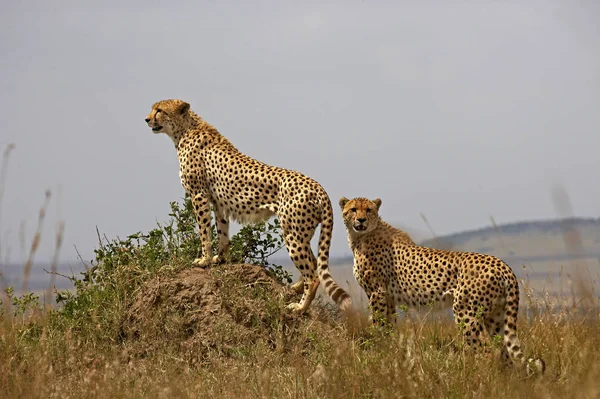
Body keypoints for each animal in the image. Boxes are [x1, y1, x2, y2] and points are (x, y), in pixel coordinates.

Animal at [144, 99, 352, 312]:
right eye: (153, 108)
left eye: (159, 110)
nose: (147, 119)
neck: (184, 129)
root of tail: (319, 187)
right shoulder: (218, 202)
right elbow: (222, 231)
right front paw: (221, 259)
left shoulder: (199, 194)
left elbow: (204, 230)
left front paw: (204, 260)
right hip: (301, 232)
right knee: (313, 263)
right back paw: (293, 289)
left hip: (293, 234)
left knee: (314, 275)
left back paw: (300, 307)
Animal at [340, 197, 548, 376]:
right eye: (353, 209)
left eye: (368, 210)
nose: (361, 220)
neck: (362, 235)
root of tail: (501, 264)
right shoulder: (388, 297)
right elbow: (389, 326)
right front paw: (390, 351)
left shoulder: (377, 292)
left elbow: (378, 325)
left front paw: (378, 350)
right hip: (496, 315)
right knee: (504, 351)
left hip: (466, 312)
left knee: (485, 350)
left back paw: (477, 377)